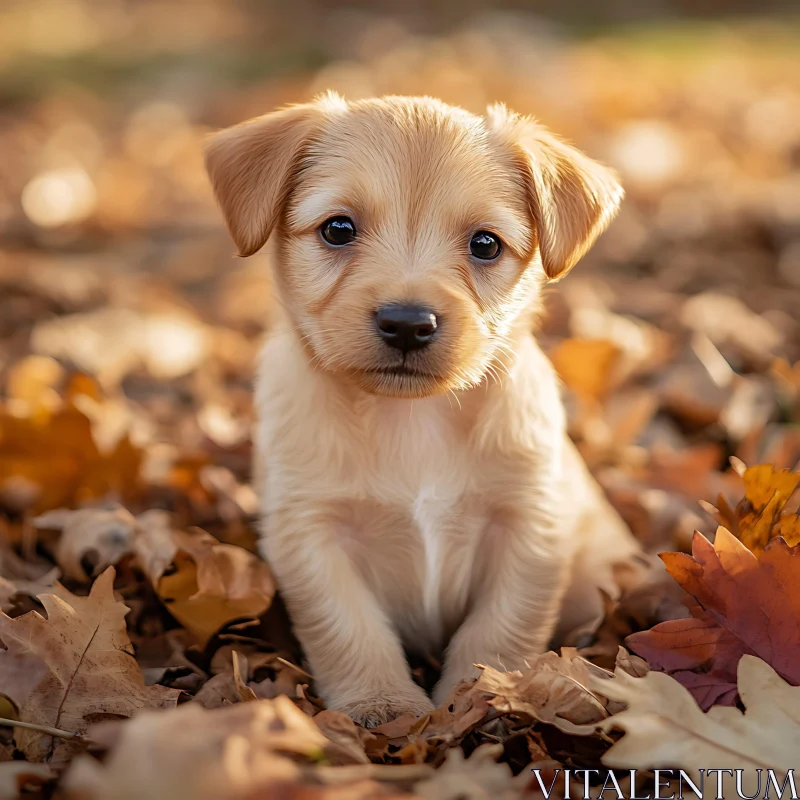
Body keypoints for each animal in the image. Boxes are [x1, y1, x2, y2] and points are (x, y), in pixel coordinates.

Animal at [205, 94, 636, 724]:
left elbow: (498, 630)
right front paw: (382, 702)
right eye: (338, 229)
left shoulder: (528, 525)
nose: (407, 323)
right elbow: (351, 628)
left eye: (485, 244)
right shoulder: (311, 531)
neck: (413, 418)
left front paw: (484, 694)